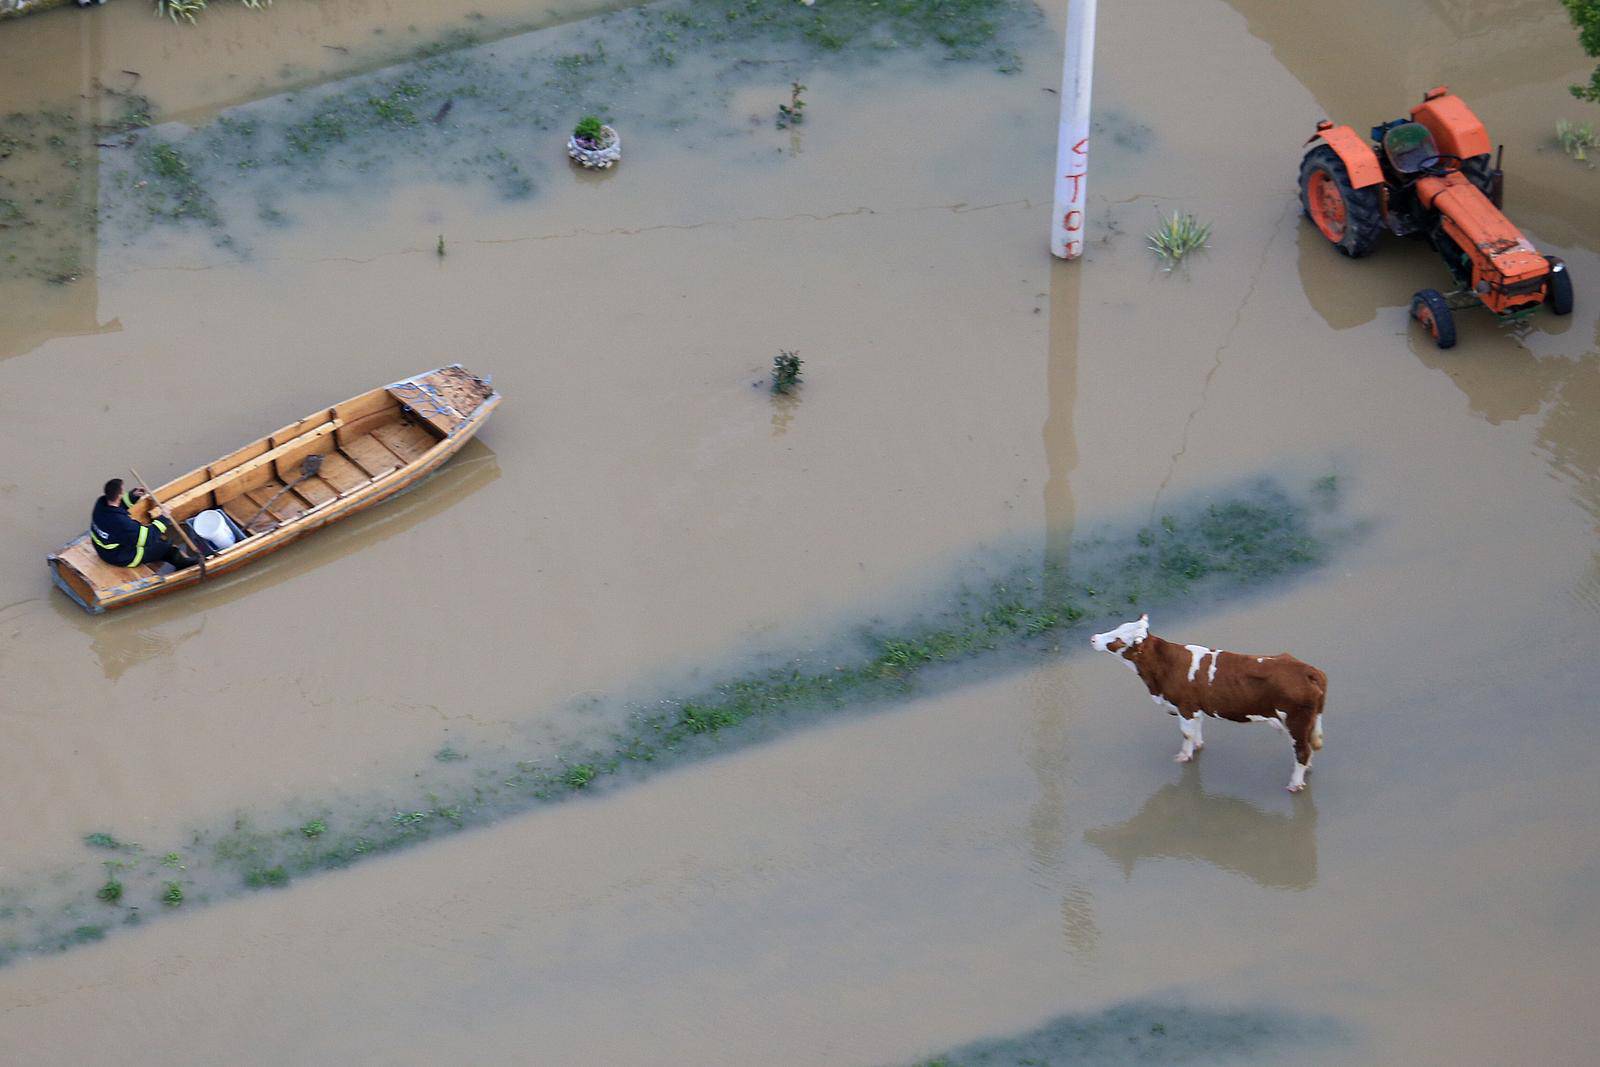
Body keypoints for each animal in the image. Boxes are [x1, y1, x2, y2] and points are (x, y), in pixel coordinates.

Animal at [1088, 617, 1324, 793]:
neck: (1162, 669)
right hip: (1307, 722)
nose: (1093, 638)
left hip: (1296, 720)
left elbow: (1186, 733)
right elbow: (1196, 728)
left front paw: (1184, 756)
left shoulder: (1184, 706)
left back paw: (1294, 785)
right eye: (1118, 627)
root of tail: (1306, 669)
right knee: (1308, 747)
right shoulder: (1195, 707)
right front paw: (1198, 746)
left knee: (1302, 750)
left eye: (1118, 639)